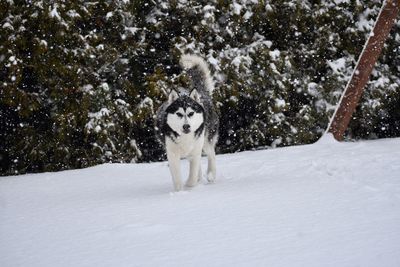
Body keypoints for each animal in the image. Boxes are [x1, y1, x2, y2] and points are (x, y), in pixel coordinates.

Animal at [155, 55, 219, 193]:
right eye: (179, 114)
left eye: (191, 113)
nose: (186, 126)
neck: (185, 138)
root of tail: (201, 92)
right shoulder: (172, 154)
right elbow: (178, 178)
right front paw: (180, 191)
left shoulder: (195, 150)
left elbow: (192, 176)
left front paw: (190, 186)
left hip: (206, 139)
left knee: (211, 154)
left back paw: (211, 174)